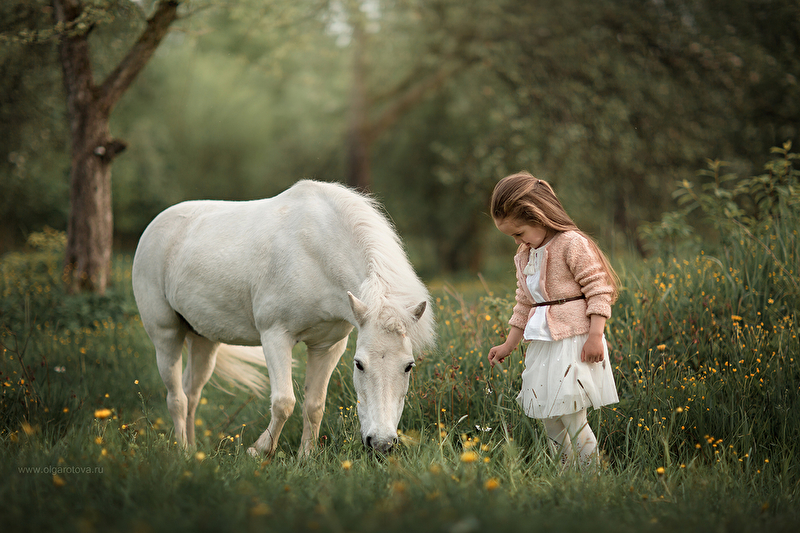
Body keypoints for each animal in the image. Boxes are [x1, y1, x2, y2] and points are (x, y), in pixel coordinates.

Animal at [131, 179, 434, 454]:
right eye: (359, 365)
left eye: (408, 366)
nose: (381, 443)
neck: (316, 253)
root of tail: (154, 228)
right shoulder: (275, 337)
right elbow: (283, 402)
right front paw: (259, 451)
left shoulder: (327, 347)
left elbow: (314, 405)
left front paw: (305, 458)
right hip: (166, 336)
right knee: (177, 399)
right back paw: (183, 453)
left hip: (204, 340)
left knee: (191, 394)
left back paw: (194, 452)